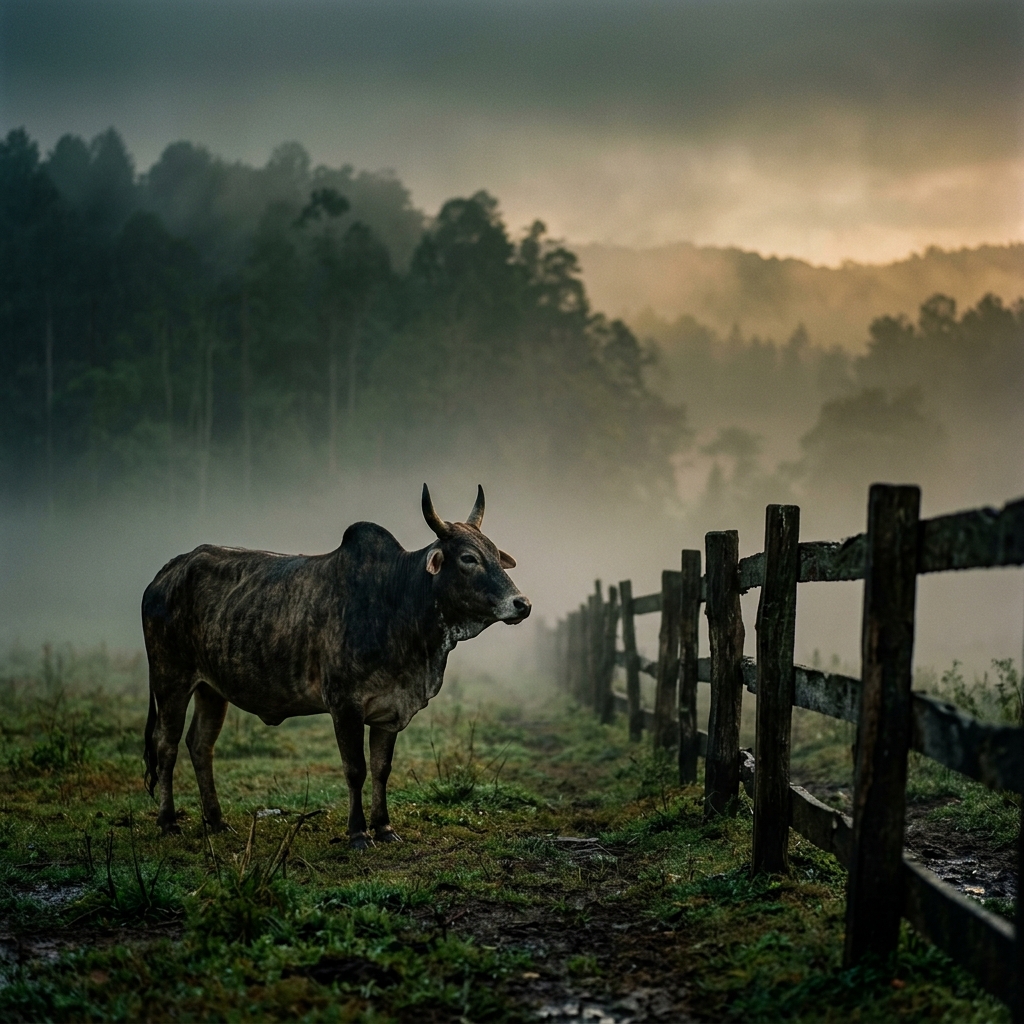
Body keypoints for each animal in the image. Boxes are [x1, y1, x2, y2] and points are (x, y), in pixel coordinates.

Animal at [141, 484, 530, 847]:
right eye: (468, 558)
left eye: (495, 554)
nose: (522, 604)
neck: (399, 601)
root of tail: (165, 573)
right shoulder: (345, 705)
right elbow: (355, 769)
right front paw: (358, 832)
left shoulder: (388, 710)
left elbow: (382, 769)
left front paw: (384, 827)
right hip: (171, 681)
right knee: (166, 746)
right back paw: (168, 822)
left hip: (211, 689)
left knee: (200, 745)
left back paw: (217, 821)